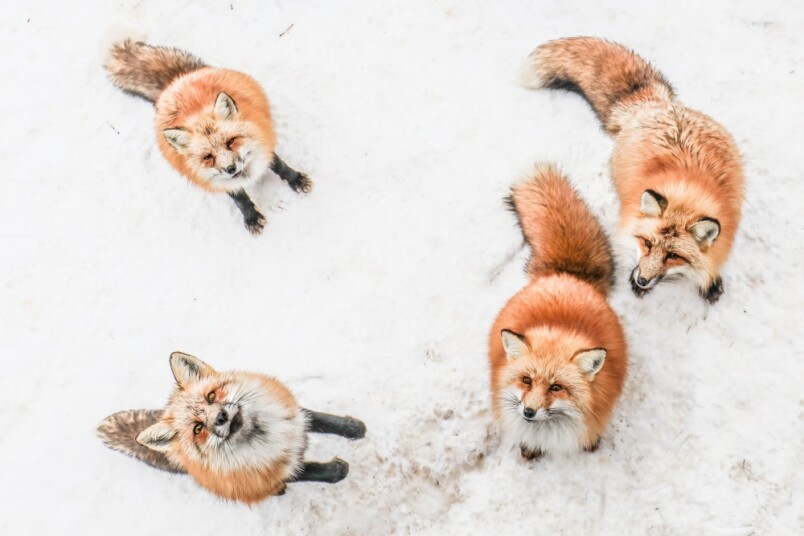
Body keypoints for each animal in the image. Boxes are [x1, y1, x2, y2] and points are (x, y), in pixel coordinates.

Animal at [96, 352, 368, 502]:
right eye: (198, 429)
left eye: (211, 396)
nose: (220, 418)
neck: (266, 434)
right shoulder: (265, 474)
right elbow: (311, 471)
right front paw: (337, 470)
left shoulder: (293, 416)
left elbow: (323, 420)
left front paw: (354, 428)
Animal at [103, 39, 310, 234]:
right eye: (207, 157)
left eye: (231, 141)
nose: (230, 168)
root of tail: (175, 81)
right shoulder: (213, 179)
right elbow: (240, 199)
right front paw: (252, 217)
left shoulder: (263, 144)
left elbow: (281, 167)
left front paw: (297, 180)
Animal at [524, 37, 744, 304]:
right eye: (647, 243)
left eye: (673, 256)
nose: (642, 280)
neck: (687, 197)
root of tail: (655, 105)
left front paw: (710, 280)